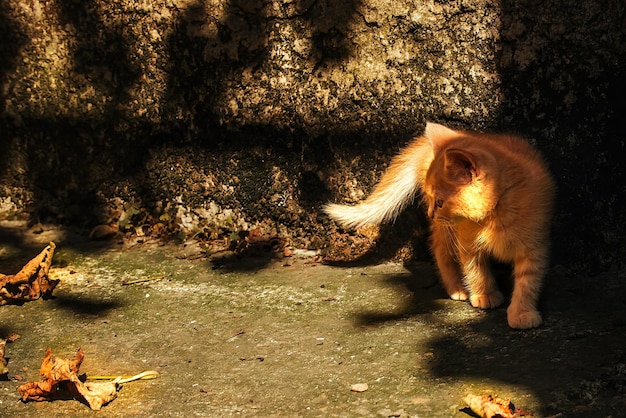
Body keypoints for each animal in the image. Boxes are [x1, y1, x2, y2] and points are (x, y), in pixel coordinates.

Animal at [324, 122, 552, 328]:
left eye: (441, 202)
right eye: (432, 199)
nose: (430, 213)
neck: (494, 214)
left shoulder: (534, 245)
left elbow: (528, 282)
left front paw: (522, 312)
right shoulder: (466, 243)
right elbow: (476, 270)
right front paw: (484, 294)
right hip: (445, 229)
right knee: (440, 250)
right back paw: (457, 288)